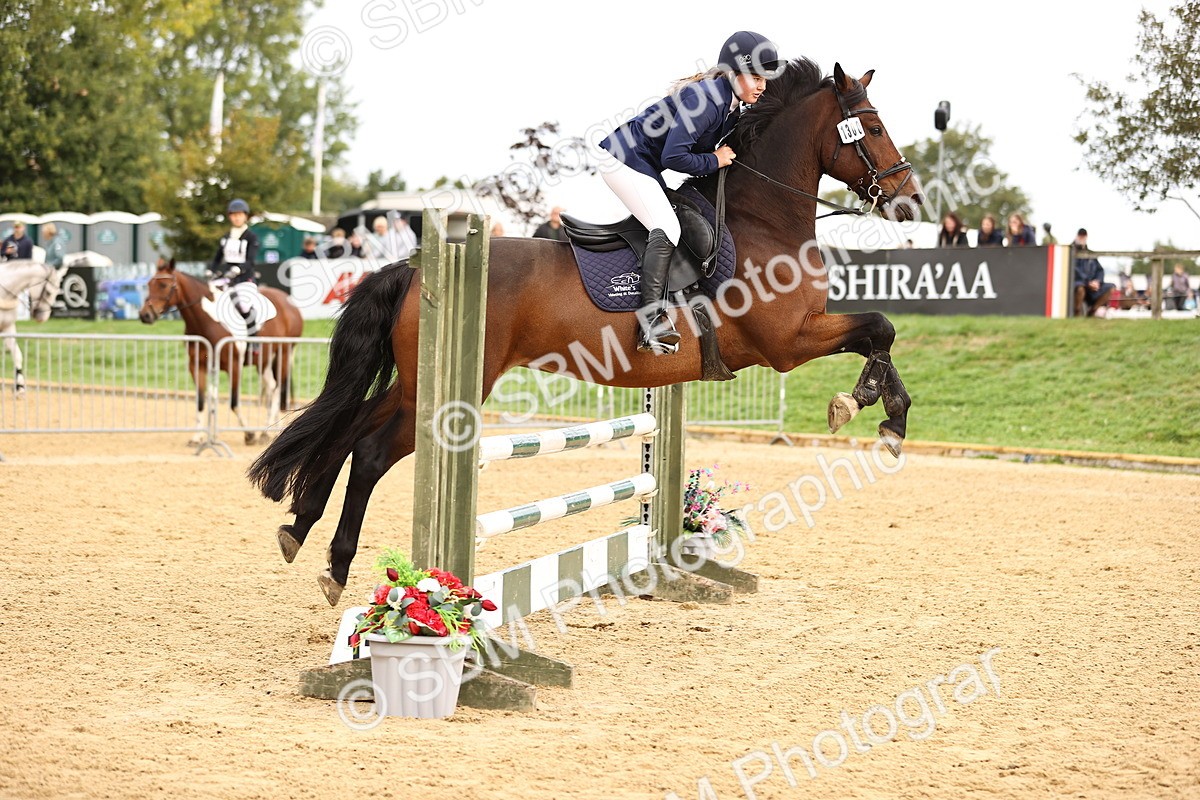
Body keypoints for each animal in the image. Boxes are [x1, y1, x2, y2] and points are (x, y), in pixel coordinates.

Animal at [0, 260, 69, 397]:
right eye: (48, 292)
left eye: (57, 292)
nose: (42, 317)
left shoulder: (8, 328)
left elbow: (17, 355)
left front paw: (19, 387)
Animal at [138, 260, 305, 445]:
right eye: (149, 284)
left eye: (164, 285)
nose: (145, 315)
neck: (207, 321)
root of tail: (289, 302)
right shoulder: (198, 366)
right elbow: (203, 400)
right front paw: (199, 436)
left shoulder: (234, 365)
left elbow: (233, 402)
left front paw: (249, 434)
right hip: (264, 361)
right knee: (271, 386)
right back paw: (271, 430)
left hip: (284, 353)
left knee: (277, 388)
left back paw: (264, 433)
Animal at [249, 59, 925, 605]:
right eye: (871, 127)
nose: (910, 201)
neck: (763, 220)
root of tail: (417, 266)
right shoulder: (785, 344)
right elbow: (879, 326)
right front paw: (868, 409)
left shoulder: (796, 337)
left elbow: (879, 334)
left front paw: (883, 413)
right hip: (444, 394)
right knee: (368, 449)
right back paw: (335, 564)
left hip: (417, 385)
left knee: (350, 430)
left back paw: (302, 529)